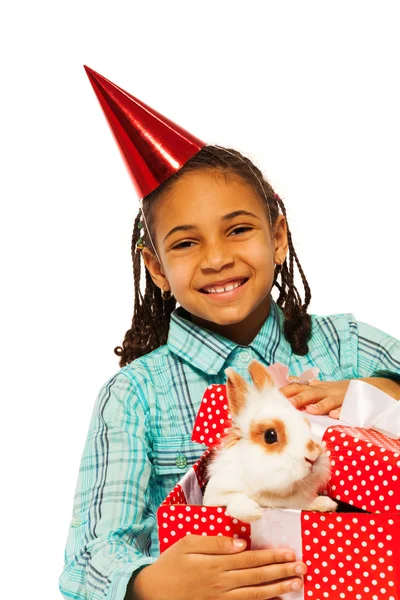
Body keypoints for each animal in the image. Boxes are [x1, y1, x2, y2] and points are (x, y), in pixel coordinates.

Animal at [203, 358, 338, 524]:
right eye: (270, 435)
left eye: (307, 424)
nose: (313, 457)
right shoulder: (215, 496)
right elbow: (235, 498)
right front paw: (254, 512)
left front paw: (326, 504)